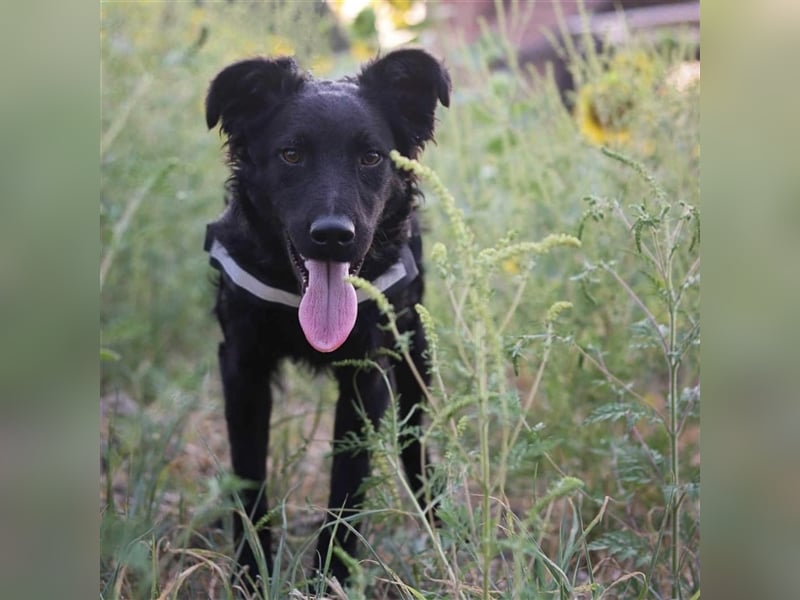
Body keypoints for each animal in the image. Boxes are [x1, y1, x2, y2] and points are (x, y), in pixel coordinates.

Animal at [203, 48, 450, 592]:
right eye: (291, 155)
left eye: (371, 157)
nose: (334, 235)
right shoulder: (241, 367)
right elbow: (248, 482)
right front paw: (251, 574)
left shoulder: (367, 375)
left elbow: (346, 491)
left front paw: (330, 579)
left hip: (414, 349)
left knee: (413, 440)